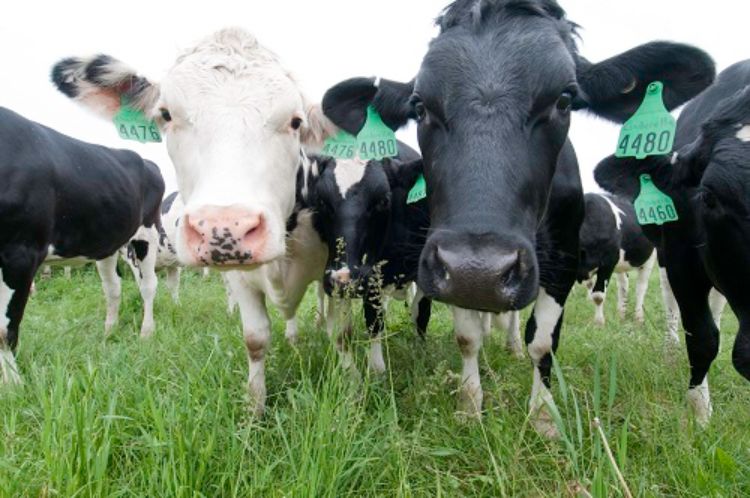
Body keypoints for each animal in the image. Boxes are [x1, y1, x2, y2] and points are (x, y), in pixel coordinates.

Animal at [0, 107, 164, 384]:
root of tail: (145, 160)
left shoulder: (21, 252)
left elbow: (5, 330)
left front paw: (13, 387)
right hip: (111, 243)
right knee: (113, 287)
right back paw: (109, 333)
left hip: (146, 234)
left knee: (149, 285)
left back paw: (147, 332)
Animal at [50, 28, 338, 416]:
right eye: (166, 114)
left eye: (296, 122)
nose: (225, 228)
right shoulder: (238, 275)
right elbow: (255, 338)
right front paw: (255, 410)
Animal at [580, 194, 656, 326]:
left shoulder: (608, 263)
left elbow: (598, 296)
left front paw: (599, 323)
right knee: (623, 285)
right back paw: (621, 314)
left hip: (650, 258)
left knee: (641, 287)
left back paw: (639, 318)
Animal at [596, 58, 750, 424]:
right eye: (709, 196)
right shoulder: (680, 256)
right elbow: (702, 337)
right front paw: (700, 414)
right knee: (667, 301)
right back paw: (669, 350)